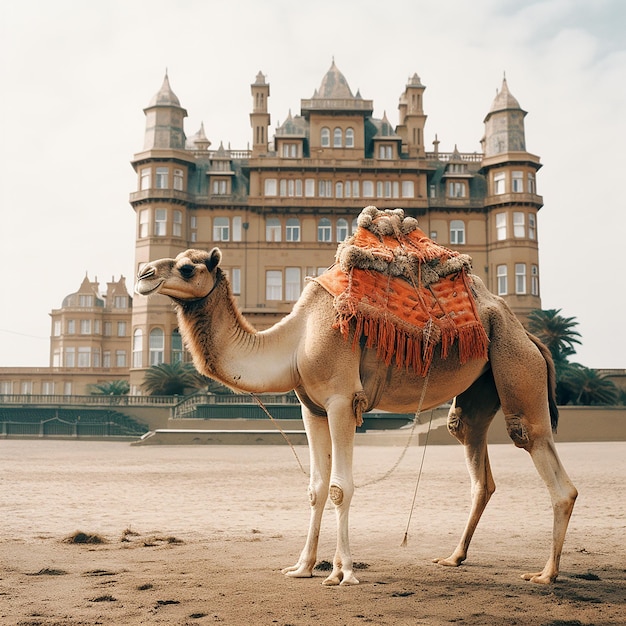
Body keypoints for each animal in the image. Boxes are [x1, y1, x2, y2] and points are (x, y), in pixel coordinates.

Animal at [135, 206, 576, 584]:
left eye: (187, 267)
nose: (143, 272)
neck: (297, 339)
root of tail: (533, 338)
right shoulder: (311, 409)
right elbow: (315, 488)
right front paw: (302, 567)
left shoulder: (341, 400)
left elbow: (340, 488)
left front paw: (342, 572)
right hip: (480, 388)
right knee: (473, 452)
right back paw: (454, 557)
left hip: (516, 365)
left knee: (543, 456)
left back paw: (546, 574)